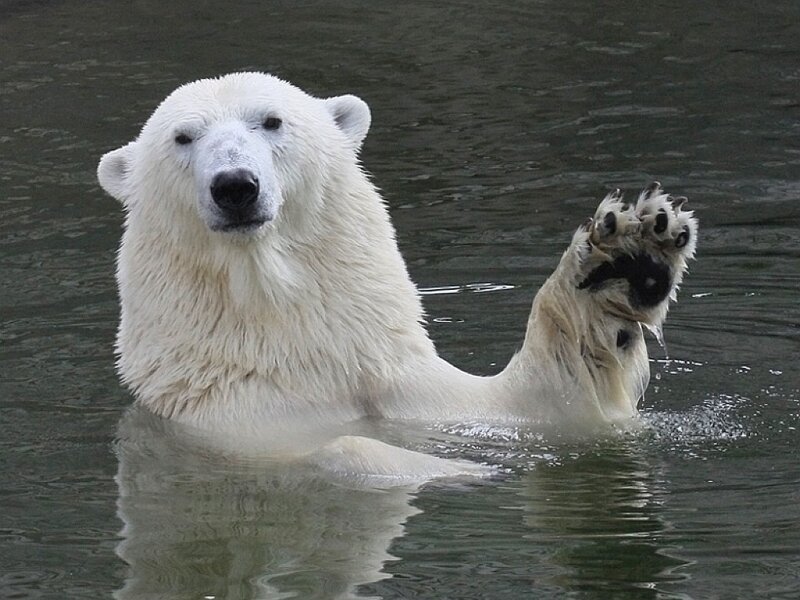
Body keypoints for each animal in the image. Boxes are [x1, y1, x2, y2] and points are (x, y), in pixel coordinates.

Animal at [98, 72, 697, 478]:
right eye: (183, 137)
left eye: (271, 120)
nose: (235, 185)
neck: (302, 354)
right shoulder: (232, 423)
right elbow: (345, 450)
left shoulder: (398, 380)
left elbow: (543, 403)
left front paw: (629, 258)